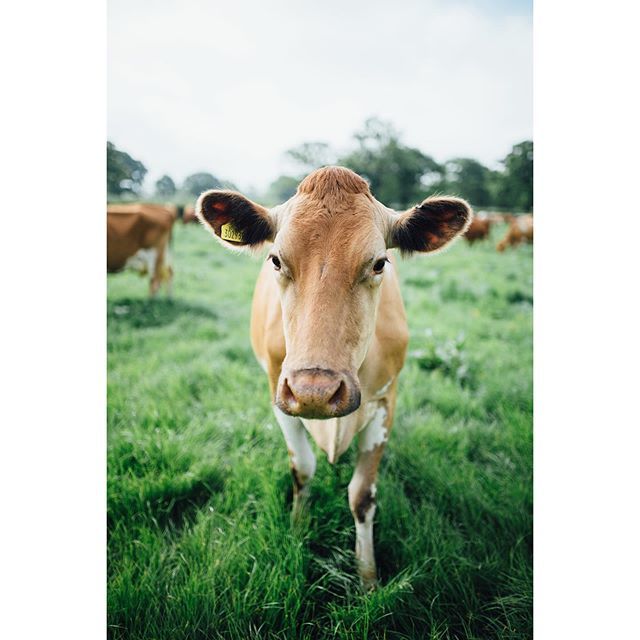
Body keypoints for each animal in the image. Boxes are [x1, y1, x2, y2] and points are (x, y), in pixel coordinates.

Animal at [196, 166, 472, 589]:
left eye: (379, 263)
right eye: (276, 260)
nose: (316, 392)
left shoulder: (385, 402)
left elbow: (361, 495)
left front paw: (367, 576)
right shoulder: (280, 394)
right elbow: (303, 470)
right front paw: (297, 529)